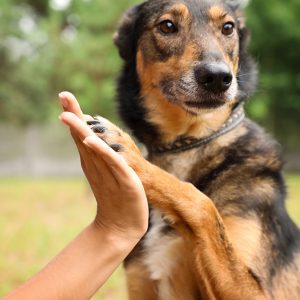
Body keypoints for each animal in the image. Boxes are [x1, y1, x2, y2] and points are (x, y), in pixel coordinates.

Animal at [87, 0, 300, 298]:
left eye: (228, 27)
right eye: (167, 26)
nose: (218, 77)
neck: (186, 144)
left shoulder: (258, 292)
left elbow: (201, 202)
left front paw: (131, 153)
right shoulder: (140, 280)